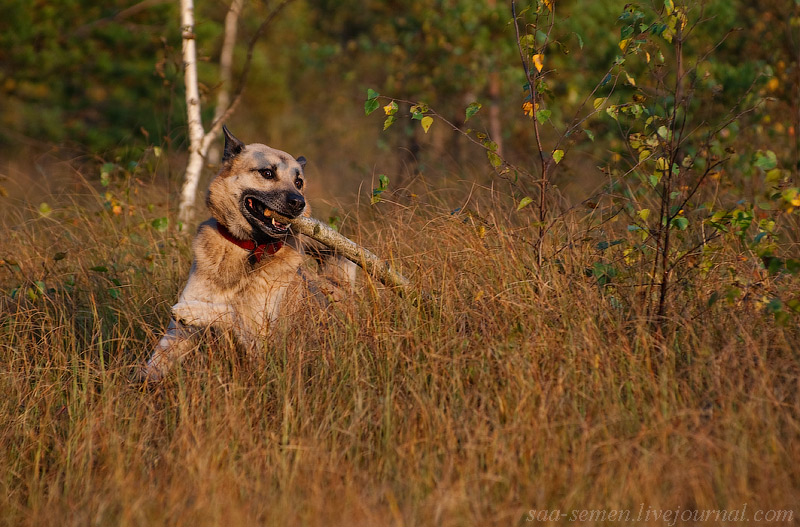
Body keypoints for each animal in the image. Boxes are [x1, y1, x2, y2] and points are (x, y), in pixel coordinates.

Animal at [142, 126, 354, 382]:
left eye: (299, 182)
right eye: (267, 173)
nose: (299, 203)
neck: (249, 247)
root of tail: (338, 286)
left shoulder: (260, 337)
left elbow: (231, 312)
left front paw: (190, 310)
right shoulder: (178, 333)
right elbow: (156, 362)